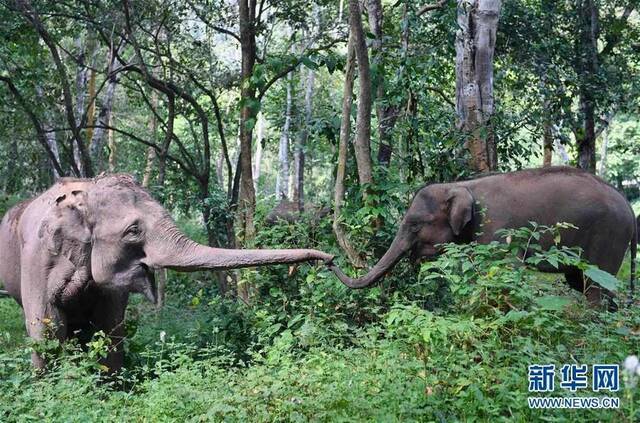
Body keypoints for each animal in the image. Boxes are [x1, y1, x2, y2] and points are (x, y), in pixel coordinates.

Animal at [0, 173, 330, 372]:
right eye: (133, 231)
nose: (329, 259)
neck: (86, 192)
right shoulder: (37, 258)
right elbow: (47, 329)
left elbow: (109, 326)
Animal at [328, 167, 636, 310]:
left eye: (415, 225)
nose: (329, 260)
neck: (461, 185)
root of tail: (631, 209)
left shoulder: (497, 228)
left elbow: (503, 270)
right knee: (583, 283)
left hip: (608, 237)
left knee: (595, 286)